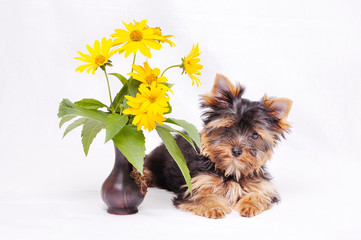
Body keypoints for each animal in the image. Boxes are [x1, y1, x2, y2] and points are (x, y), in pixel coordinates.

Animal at [142, 74, 292, 218]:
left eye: (255, 136)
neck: (231, 171)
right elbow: (203, 196)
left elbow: (260, 195)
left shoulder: (261, 186)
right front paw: (214, 207)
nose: (236, 151)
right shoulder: (195, 184)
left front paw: (250, 205)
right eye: (227, 128)